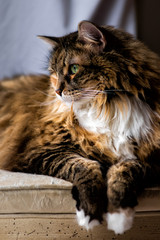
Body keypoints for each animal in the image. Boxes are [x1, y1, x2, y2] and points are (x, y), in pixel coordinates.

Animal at [0, 20, 159, 234]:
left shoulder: (150, 158)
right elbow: (84, 166)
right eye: (54, 73)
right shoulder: (41, 151)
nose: (57, 91)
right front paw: (89, 213)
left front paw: (119, 215)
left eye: (74, 68)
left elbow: (125, 170)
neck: (107, 107)